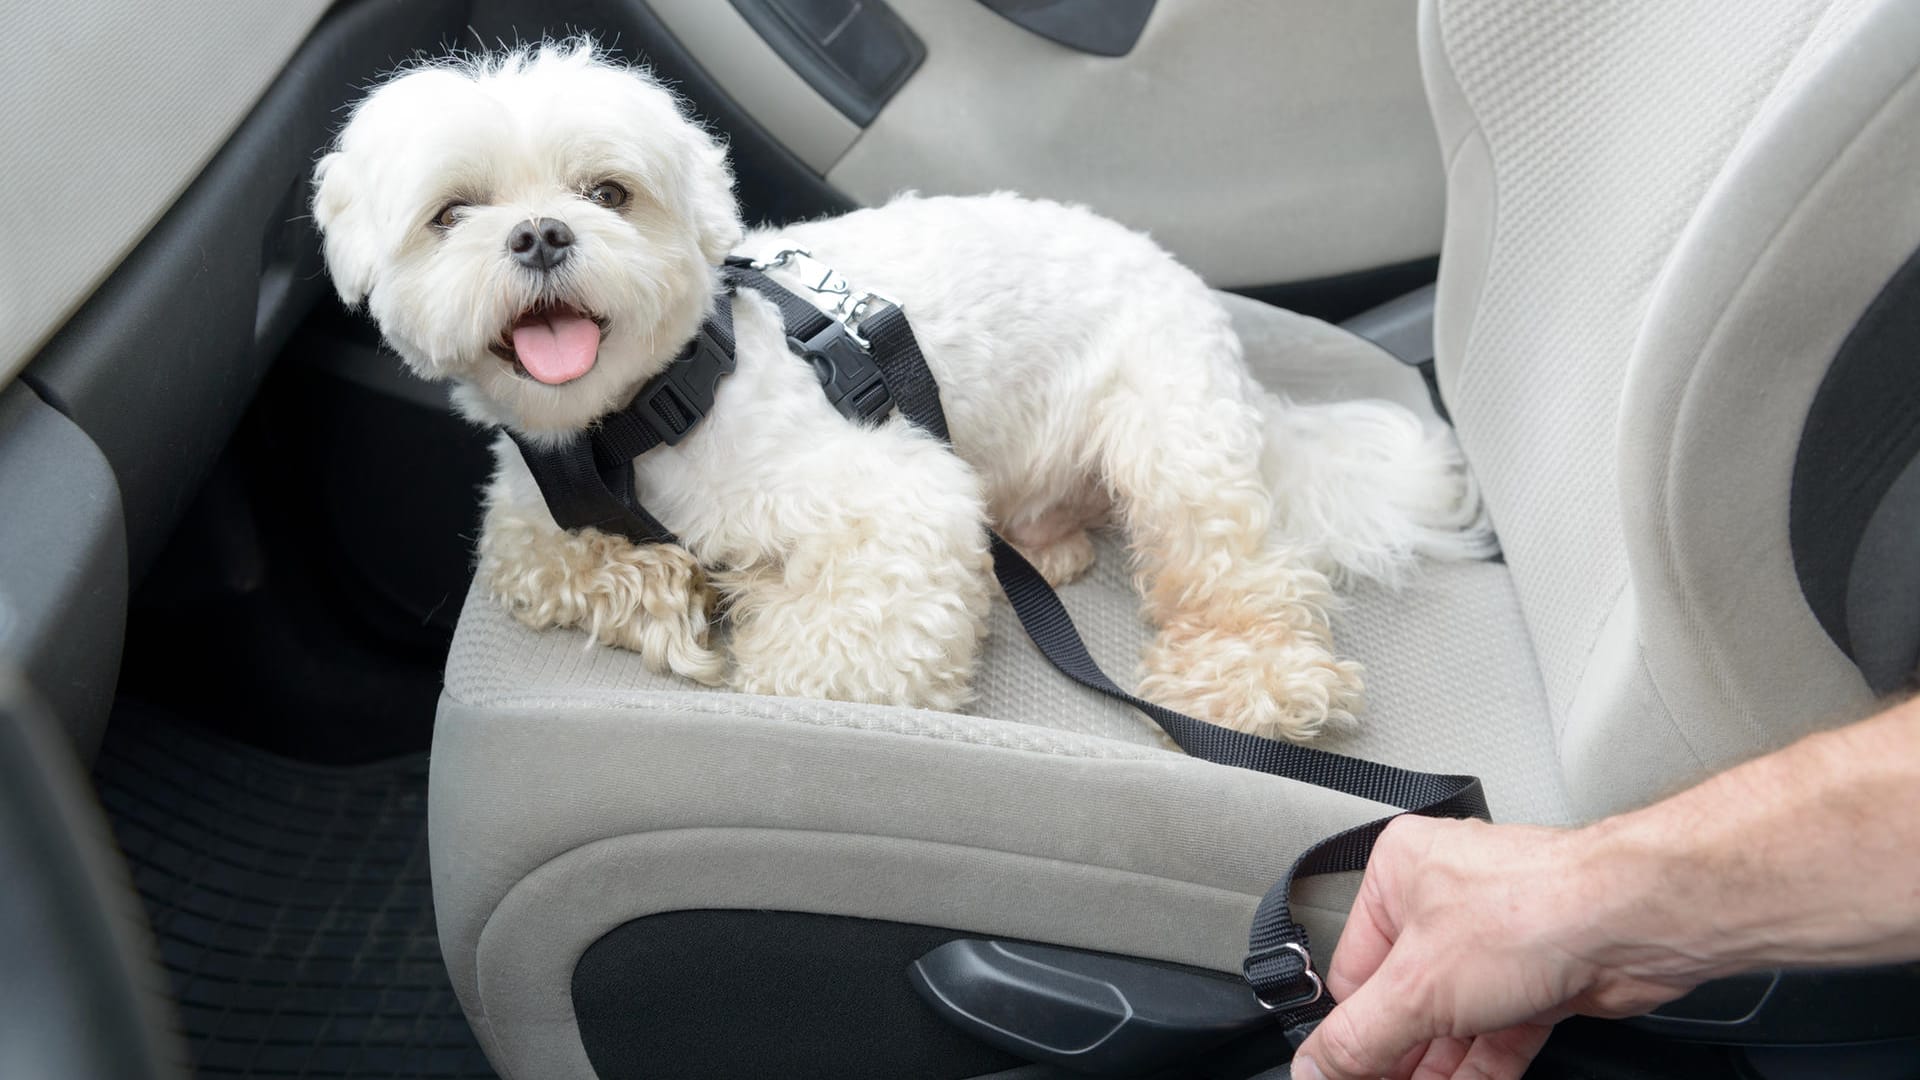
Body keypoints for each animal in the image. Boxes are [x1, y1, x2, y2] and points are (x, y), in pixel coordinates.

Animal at [311, 37, 1482, 734]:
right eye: (453, 212)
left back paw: (1255, 680)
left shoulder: (899, 503)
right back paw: (1048, 542)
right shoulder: (527, 517)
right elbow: (545, 560)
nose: (544, 234)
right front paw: (672, 595)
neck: (641, 415)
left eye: (608, 192)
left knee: (1240, 572)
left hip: (1172, 442)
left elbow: (825, 662)